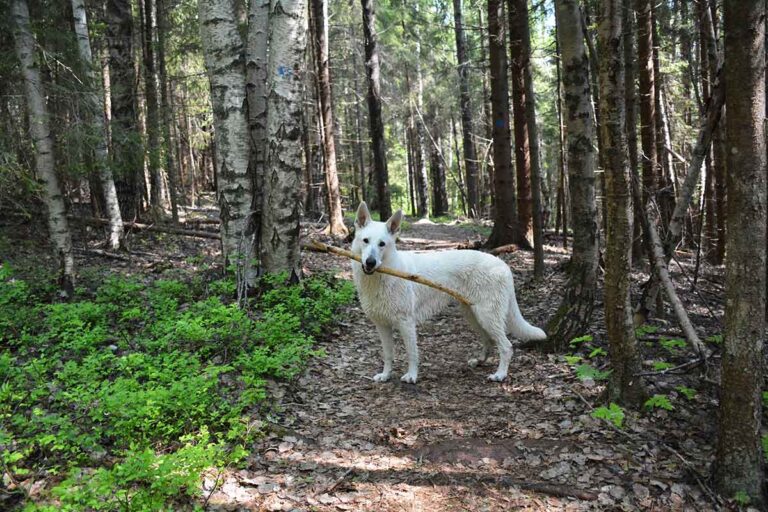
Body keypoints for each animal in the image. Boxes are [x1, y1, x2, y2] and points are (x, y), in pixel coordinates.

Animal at [350, 201, 544, 384]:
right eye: (365, 241)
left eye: (382, 244)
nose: (370, 262)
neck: (381, 275)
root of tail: (503, 265)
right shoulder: (382, 326)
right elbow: (388, 355)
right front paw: (385, 375)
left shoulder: (406, 323)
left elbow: (412, 354)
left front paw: (412, 376)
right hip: (473, 315)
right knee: (489, 340)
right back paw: (480, 361)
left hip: (486, 316)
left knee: (506, 346)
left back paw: (500, 374)